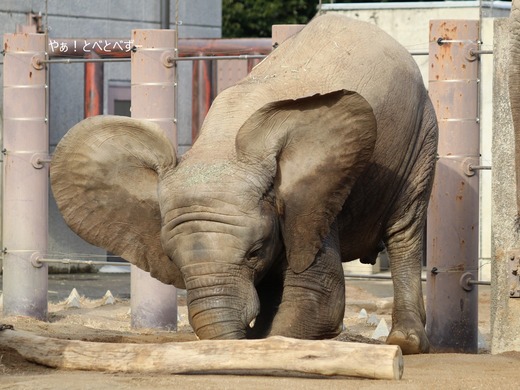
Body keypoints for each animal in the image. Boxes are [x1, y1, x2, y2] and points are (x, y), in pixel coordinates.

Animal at [50, 14, 436, 356]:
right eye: (173, 260)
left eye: (255, 252)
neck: (222, 145)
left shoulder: (315, 196)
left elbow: (319, 299)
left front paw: (270, 341)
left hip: (422, 137)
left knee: (405, 230)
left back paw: (406, 343)